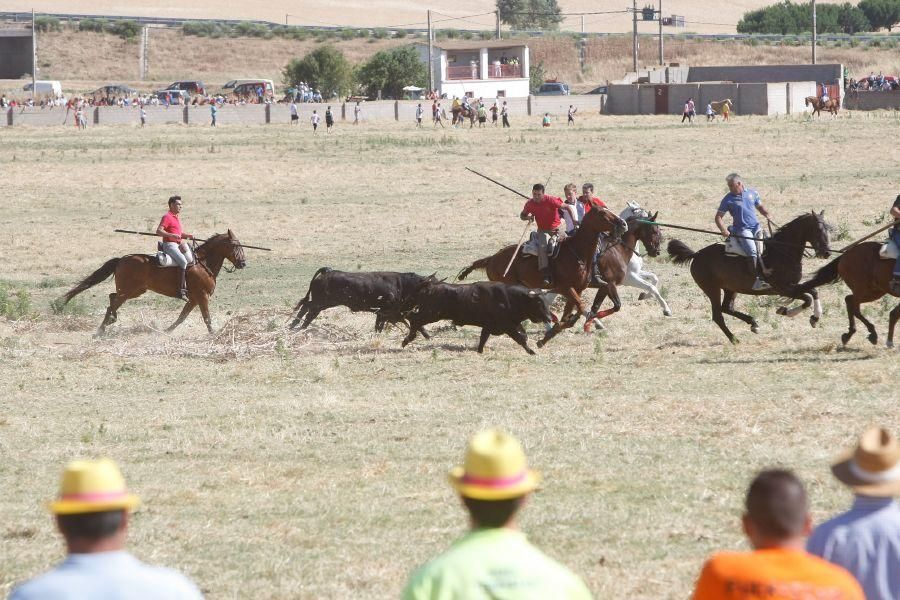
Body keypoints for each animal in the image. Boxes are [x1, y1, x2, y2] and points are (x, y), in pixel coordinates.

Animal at [59, 230, 246, 336]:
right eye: (235, 245)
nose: (243, 263)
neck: (203, 263)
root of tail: (122, 260)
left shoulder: (194, 299)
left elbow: (181, 317)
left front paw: (166, 331)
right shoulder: (202, 296)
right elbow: (206, 317)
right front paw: (213, 334)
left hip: (135, 291)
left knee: (112, 298)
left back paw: (107, 324)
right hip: (129, 291)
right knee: (113, 302)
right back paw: (103, 328)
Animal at [402, 280, 556, 354]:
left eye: (546, 301)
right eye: (538, 302)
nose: (549, 318)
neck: (509, 298)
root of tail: (430, 286)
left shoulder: (493, 326)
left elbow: (483, 339)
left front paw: (480, 352)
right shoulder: (507, 326)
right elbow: (520, 338)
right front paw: (531, 352)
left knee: (412, 318)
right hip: (431, 314)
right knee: (413, 318)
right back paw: (407, 340)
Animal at [458, 206, 624, 346]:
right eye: (602, 213)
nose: (622, 224)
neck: (577, 252)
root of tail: (492, 259)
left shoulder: (578, 289)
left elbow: (570, 315)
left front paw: (547, 336)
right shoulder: (565, 288)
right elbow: (580, 308)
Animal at [668, 211, 828, 342]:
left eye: (829, 229)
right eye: (819, 230)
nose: (826, 253)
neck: (782, 252)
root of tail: (697, 254)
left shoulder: (793, 286)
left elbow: (814, 292)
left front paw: (815, 318)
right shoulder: (783, 289)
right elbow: (807, 298)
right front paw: (786, 312)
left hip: (730, 289)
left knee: (727, 308)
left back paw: (753, 324)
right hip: (712, 289)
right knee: (718, 315)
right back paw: (735, 339)